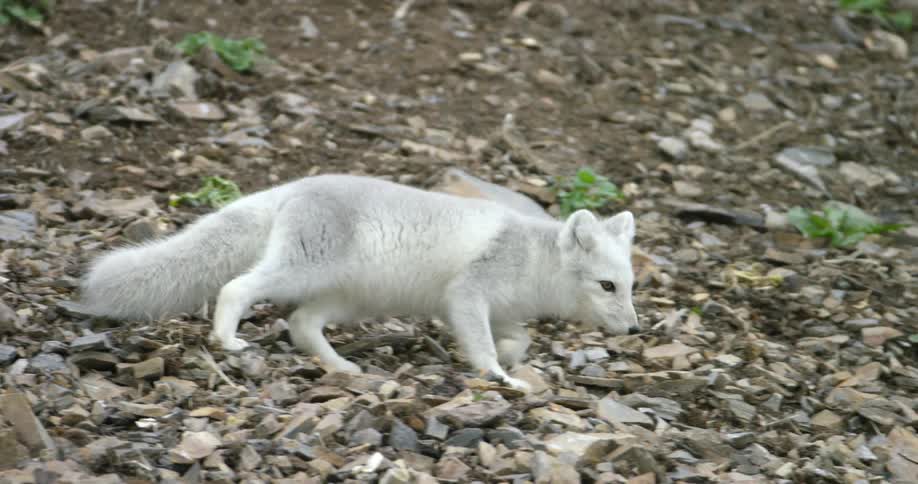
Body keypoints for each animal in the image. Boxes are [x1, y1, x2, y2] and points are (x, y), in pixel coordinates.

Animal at [74, 174, 639, 391]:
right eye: (608, 286)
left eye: (630, 286)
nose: (635, 331)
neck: (534, 260)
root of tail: (293, 186)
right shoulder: (467, 295)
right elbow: (482, 345)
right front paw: (500, 376)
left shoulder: (489, 308)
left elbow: (518, 338)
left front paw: (510, 359)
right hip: (299, 269)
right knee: (236, 288)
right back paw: (228, 340)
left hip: (349, 299)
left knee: (303, 324)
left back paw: (342, 367)